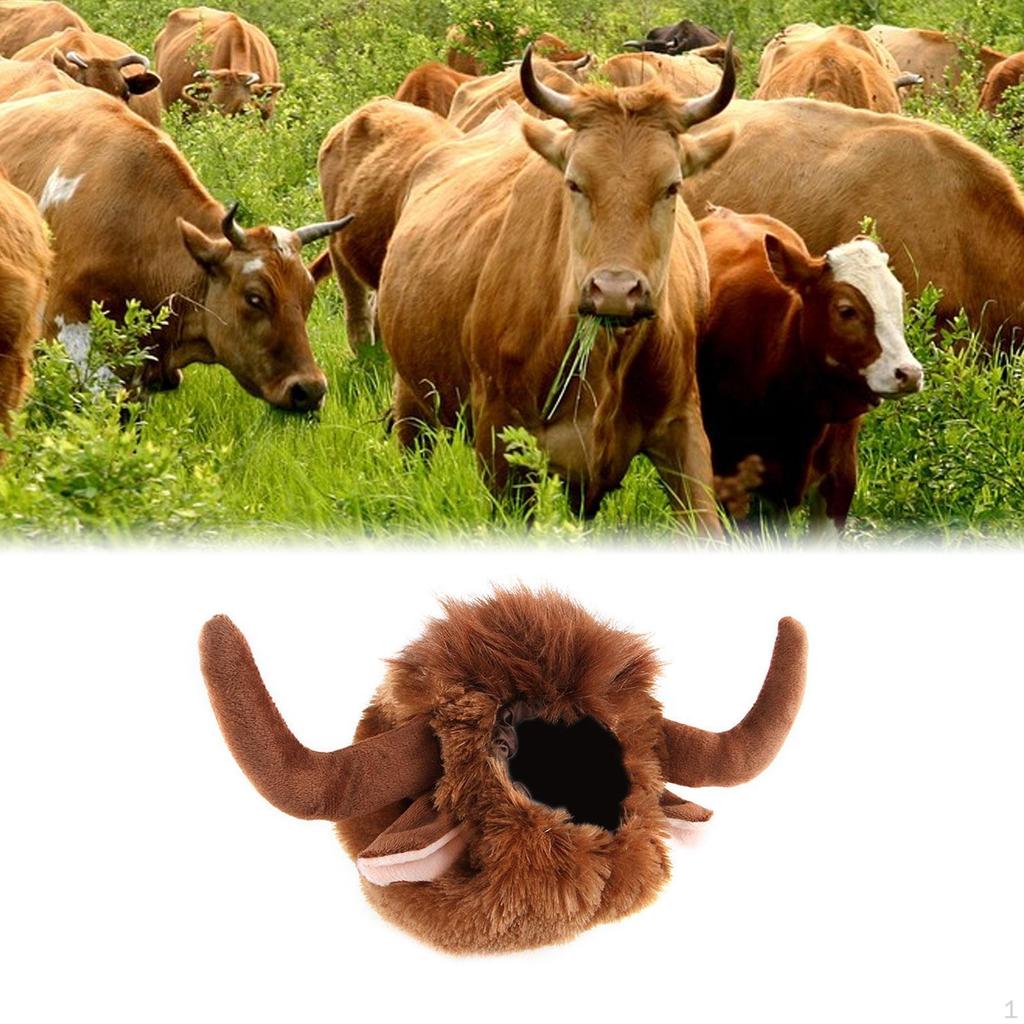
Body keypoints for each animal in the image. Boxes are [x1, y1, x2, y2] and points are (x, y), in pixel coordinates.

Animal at [377, 43, 739, 532]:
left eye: (672, 186)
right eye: (574, 182)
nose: (614, 290)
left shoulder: (682, 428)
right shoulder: (500, 439)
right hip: (413, 401)